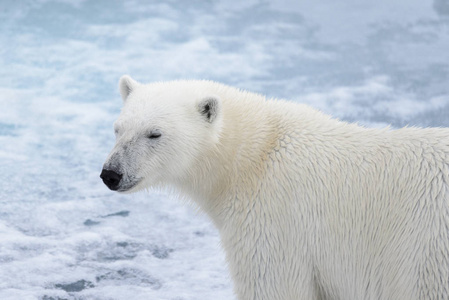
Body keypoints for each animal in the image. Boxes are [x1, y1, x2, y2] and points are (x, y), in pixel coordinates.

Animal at [100, 76, 448, 300]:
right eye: (118, 128)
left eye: (154, 134)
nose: (110, 174)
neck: (253, 156)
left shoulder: (273, 222)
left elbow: (274, 286)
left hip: (422, 252)